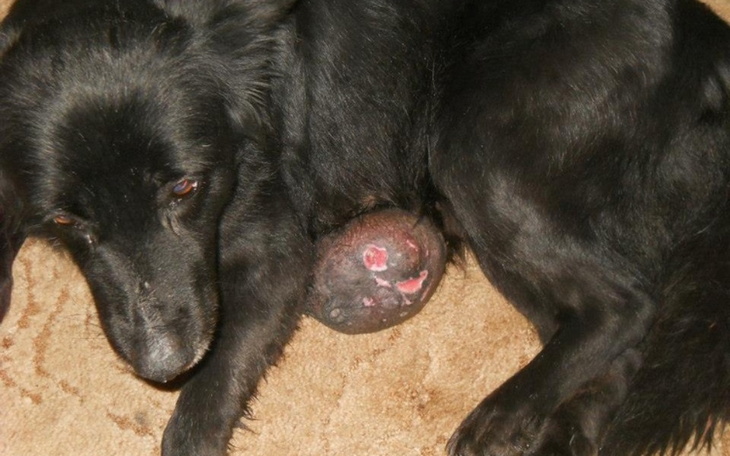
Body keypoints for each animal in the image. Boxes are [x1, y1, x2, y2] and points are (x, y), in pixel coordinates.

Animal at [1, 0, 729, 455]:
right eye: (64, 218)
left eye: (185, 188)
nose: (163, 365)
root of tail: (703, 34)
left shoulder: (275, 255)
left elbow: (207, 403)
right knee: (605, 330)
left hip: (470, 150)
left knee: (625, 303)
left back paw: (502, 416)